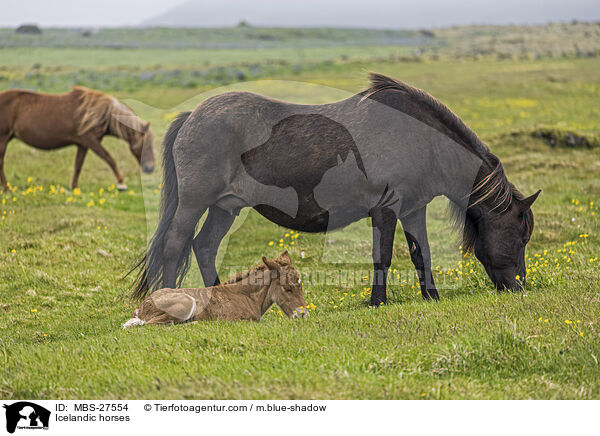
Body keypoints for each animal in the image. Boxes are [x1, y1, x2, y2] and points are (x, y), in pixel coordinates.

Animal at [0, 86, 155, 192]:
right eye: (146, 145)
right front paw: (121, 184)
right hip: (3, 140)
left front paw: (74, 188)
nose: (150, 168)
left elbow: (78, 166)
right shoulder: (91, 141)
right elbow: (109, 158)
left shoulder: (83, 144)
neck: (97, 113)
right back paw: (7, 188)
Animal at [123, 249, 308, 328]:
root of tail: (142, 308)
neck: (248, 297)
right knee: (151, 325)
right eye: (287, 288)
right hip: (186, 303)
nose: (303, 314)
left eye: (300, 285)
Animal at [130, 73, 540, 306]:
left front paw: (432, 297)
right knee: (176, 245)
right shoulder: (386, 209)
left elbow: (420, 254)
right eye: (520, 236)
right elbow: (383, 256)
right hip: (195, 202)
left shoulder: (413, 209)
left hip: (225, 207)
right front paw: (377, 302)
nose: (518, 287)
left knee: (204, 246)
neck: (420, 138)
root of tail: (191, 118)